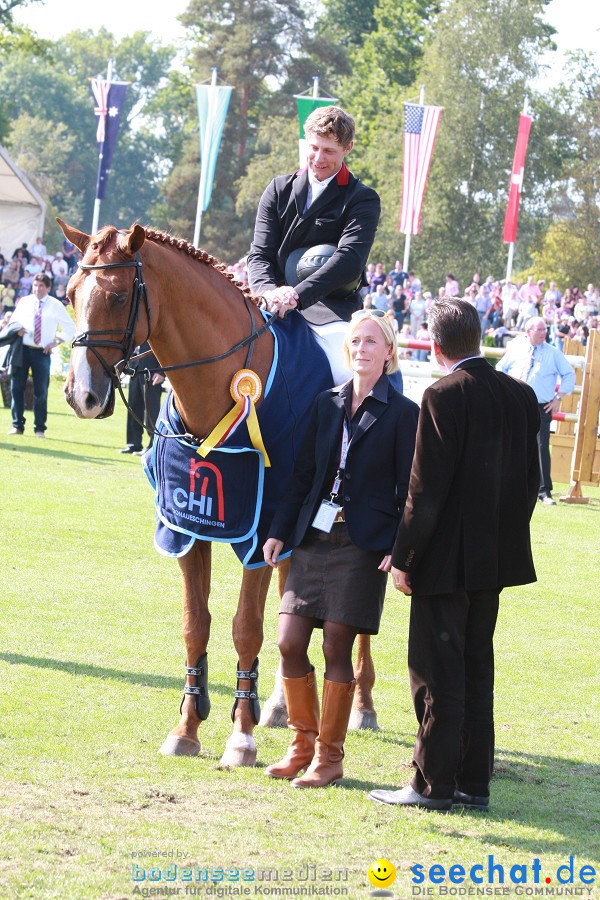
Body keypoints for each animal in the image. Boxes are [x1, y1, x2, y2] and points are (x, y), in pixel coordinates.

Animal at [57, 218, 376, 768]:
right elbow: (196, 624)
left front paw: (241, 737)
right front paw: (187, 727)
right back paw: (281, 705)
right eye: (71, 294)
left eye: (118, 297)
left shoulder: (261, 532)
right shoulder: (188, 527)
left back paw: (360, 708)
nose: (82, 395)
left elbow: (246, 626)